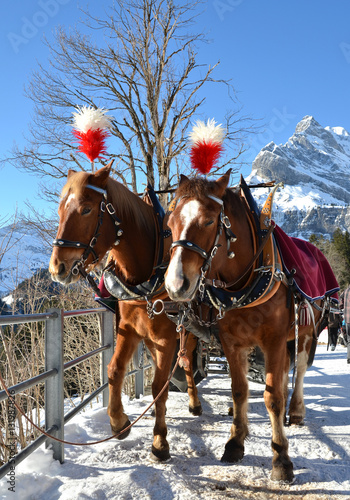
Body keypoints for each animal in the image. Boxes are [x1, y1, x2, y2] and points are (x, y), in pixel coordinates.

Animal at [49, 163, 202, 460]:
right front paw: (118, 422)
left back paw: (193, 402)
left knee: (188, 364)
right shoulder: (129, 329)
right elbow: (114, 370)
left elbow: (159, 384)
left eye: (86, 209)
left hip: (187, 333)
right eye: (60, 209)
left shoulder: (168, 337)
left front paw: (159, 440)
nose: (57, 267)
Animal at [165, 172, 334, 480]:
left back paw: (296, 410)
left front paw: (281, 458)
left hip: (305, 332)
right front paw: (235, 442)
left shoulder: (275, 340)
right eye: (170, 224)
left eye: (209, 221)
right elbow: (239, 390)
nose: (175, 285)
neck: (244, 283)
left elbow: (273, 397)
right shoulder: (232, 342)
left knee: (300, 370)